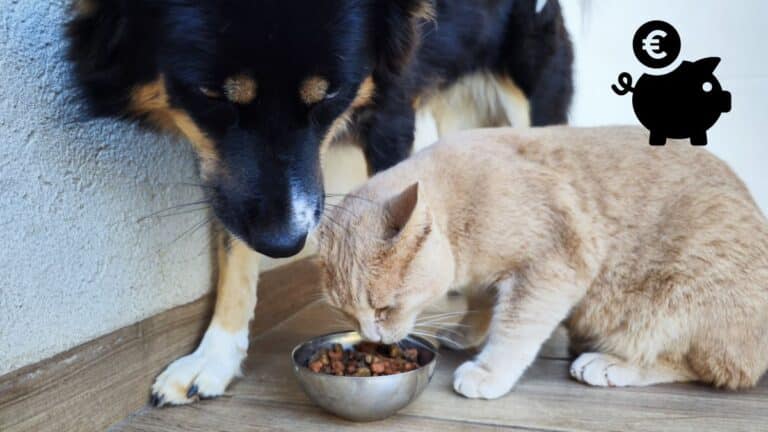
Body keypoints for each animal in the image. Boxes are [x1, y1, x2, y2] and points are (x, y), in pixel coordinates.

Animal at [67, 0, 568, 404]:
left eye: (330, 93)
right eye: (210, 95)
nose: (286, 244)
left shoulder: (391, 106)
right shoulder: (228, 170)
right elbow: (235, 246)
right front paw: (215, 356)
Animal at [316, 125, 768, 398]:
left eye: (384, 308)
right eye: (349, 316)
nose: (371, 336)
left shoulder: (551, 266)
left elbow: (514, 330)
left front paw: (489, 371)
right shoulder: (490, 279)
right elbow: (481, 305)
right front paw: (465, 332)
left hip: (676, 300)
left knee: (707, 368)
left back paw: (610, 364)